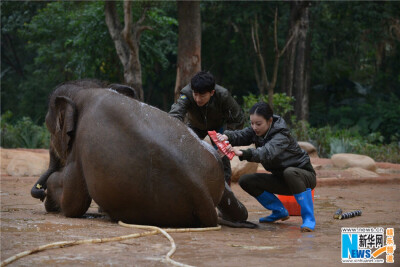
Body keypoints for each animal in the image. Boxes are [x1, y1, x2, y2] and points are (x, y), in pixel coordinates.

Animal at [32, 80, 250, 228]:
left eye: (50, 130)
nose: (39, 192)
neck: (84, 91)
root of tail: (201, 193)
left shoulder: (78, 150)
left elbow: (73, 205)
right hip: (212, 162)